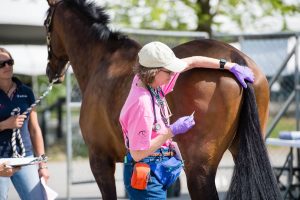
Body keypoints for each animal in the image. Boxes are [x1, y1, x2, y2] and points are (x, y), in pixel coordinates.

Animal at [44, 0, 282, 199]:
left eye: (46, 23)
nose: (50, 72)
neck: (102, 61)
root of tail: (237, 58)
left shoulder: (100, 160)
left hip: (199, 171)